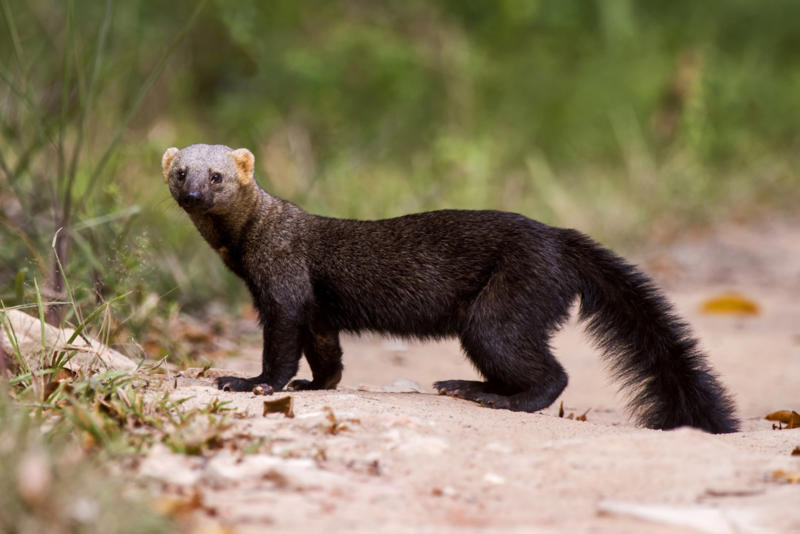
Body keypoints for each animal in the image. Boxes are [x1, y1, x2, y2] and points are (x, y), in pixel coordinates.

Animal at [162, 144, 739, 433]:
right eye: (181, 173)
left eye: (217, 176)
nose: (193, 194)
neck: (244, 248)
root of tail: (557, 235)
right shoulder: (315, 308)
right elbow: (328, 356)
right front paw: (312, 386)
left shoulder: (282, 285)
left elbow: (280, 349)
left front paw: (250, 382)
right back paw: (466, 386)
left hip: (500, 309)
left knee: (550, 374)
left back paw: (490, 397)